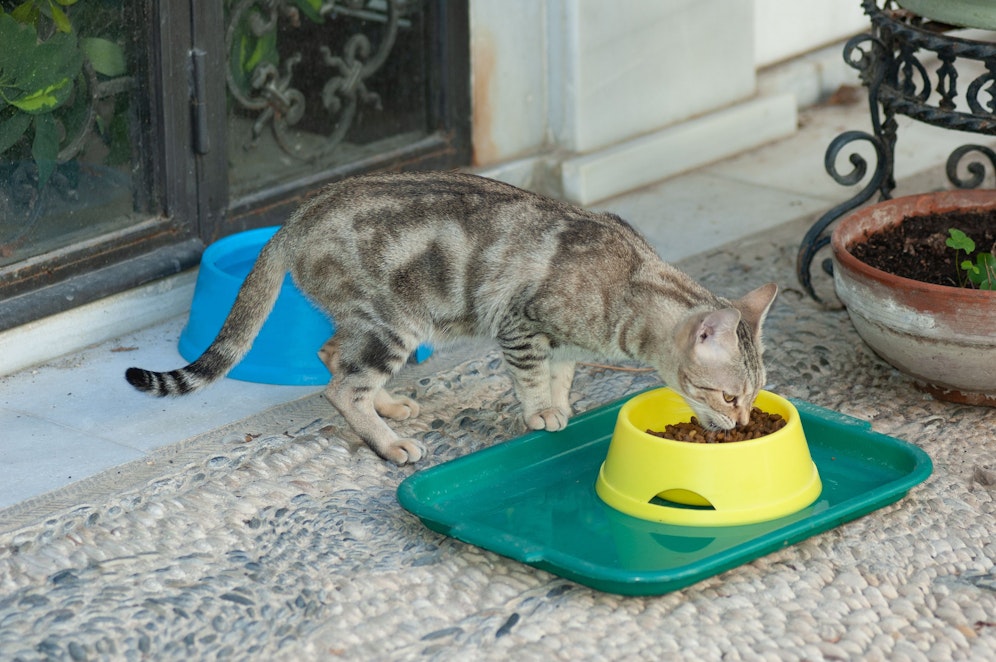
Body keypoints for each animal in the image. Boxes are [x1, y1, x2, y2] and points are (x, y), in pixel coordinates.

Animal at [126, 174, 780, 470]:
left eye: (755, 395)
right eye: (728, 396)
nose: (741, 422)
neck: (628, 286)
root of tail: (298, 216)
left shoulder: (563, 345)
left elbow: (561, 378)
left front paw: (560, 408)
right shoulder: (521, 328)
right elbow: (532, 380)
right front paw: (541, 415)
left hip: (371, 325)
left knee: (332, 357)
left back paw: (390, 406)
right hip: (396, 325)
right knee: (342, 387)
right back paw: (389, 443)